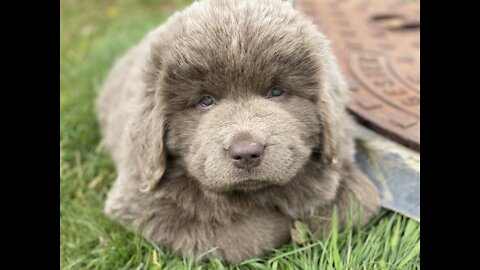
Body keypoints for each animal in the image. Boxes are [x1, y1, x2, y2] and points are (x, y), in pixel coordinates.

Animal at [96, 0, 378, 262]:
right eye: (205, 100)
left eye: (276, 91)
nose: (246, 153)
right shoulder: (140, 197)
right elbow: (234, 236)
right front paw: (278, 225)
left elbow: (350, 205)